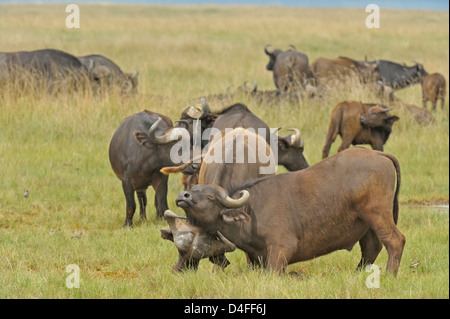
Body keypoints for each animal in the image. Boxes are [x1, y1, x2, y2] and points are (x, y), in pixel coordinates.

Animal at [175, 149, 404, 276]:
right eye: (194, 189)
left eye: (210, 197)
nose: (182, 196)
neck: (252, 211)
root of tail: (377, 153)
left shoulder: (282, 249)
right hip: (366, 223)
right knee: (371, 247)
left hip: (378, 214)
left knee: (395, 241)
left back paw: (389, 275)